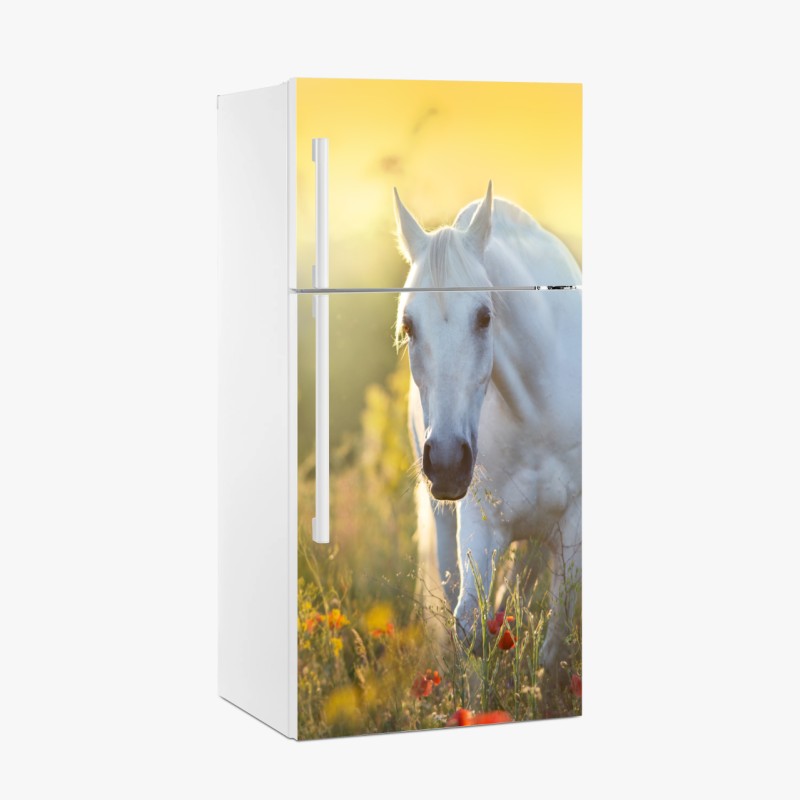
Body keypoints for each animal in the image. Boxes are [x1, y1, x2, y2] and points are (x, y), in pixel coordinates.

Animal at [393, 182, 582, 674]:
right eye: (408, 325)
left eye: (484, 316)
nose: (445, 462)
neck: (536, 414)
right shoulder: (480, 523)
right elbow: (470, 629)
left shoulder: (573, 528)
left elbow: (554, 644)